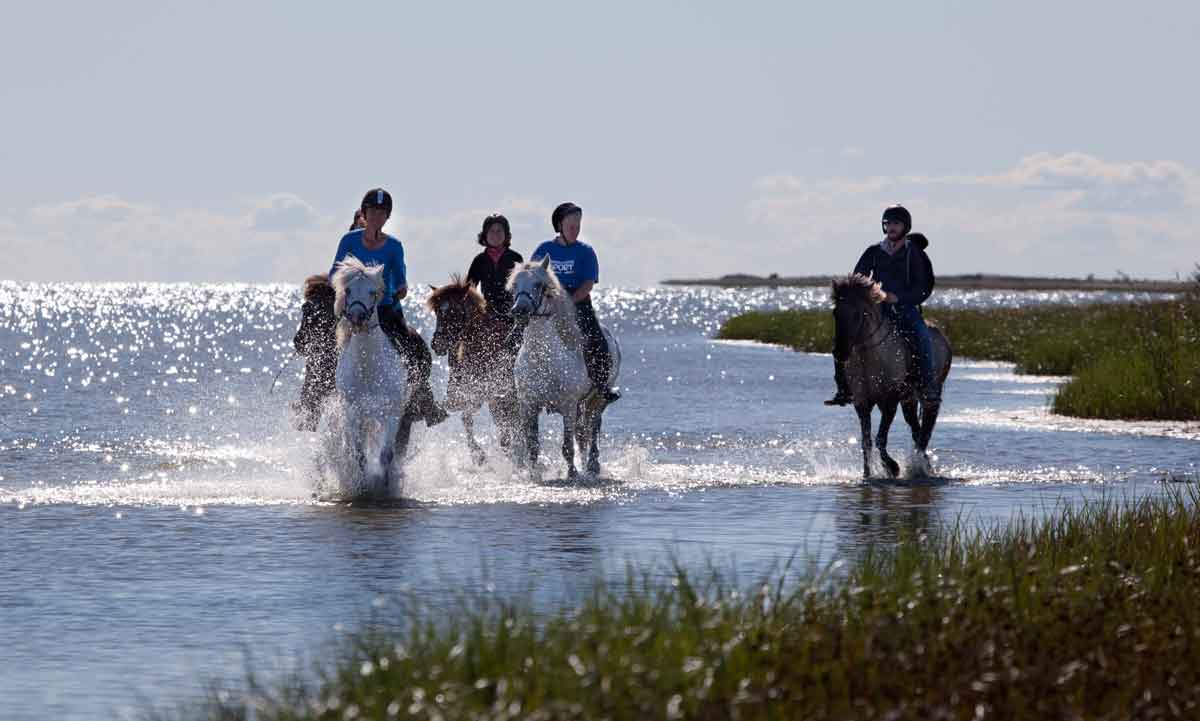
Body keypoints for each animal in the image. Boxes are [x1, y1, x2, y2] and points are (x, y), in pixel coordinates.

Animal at [331, 255, 410, 496]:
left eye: (373, 291)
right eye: (347, 290)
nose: (357, 317)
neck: (368, 369)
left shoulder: (392, 412)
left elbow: (386, 455)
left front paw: (384, 486)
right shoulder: (353, 412)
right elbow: (359, 455)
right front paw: (363, 486)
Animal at [429, 272, 518, 463]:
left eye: (454, 311)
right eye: (437, 311)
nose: (437, 344)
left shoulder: (484, 392)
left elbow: (466, 413)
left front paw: (479, 454)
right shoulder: (468, 393)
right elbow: (462, 414)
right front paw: (478, 455)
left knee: (508, 423)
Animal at [506, 255, 624, 479]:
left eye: (538, 284)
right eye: (514, 285)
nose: (520, 310)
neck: (543, 359)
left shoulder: (568, 406)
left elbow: (567, 446)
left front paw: (572, 473)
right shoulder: (528, 406)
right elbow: (532, 445)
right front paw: (534, 475)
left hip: (596, 399)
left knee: (593, 428)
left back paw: (592, 466)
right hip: (581, 404)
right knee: (582, 434)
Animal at [835, 272, 955, 479]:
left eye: (858, 314)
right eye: (835, 313)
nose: (840, 353)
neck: (871, 357)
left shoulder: (890, 400)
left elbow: (880, 438)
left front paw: (892, 468)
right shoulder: (862, 402)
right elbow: (866, 441)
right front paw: (867, 474)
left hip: (930, 391)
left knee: (926, 427)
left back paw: (921, 467)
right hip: (909, 399)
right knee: (916, 429)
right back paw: (923, 465)